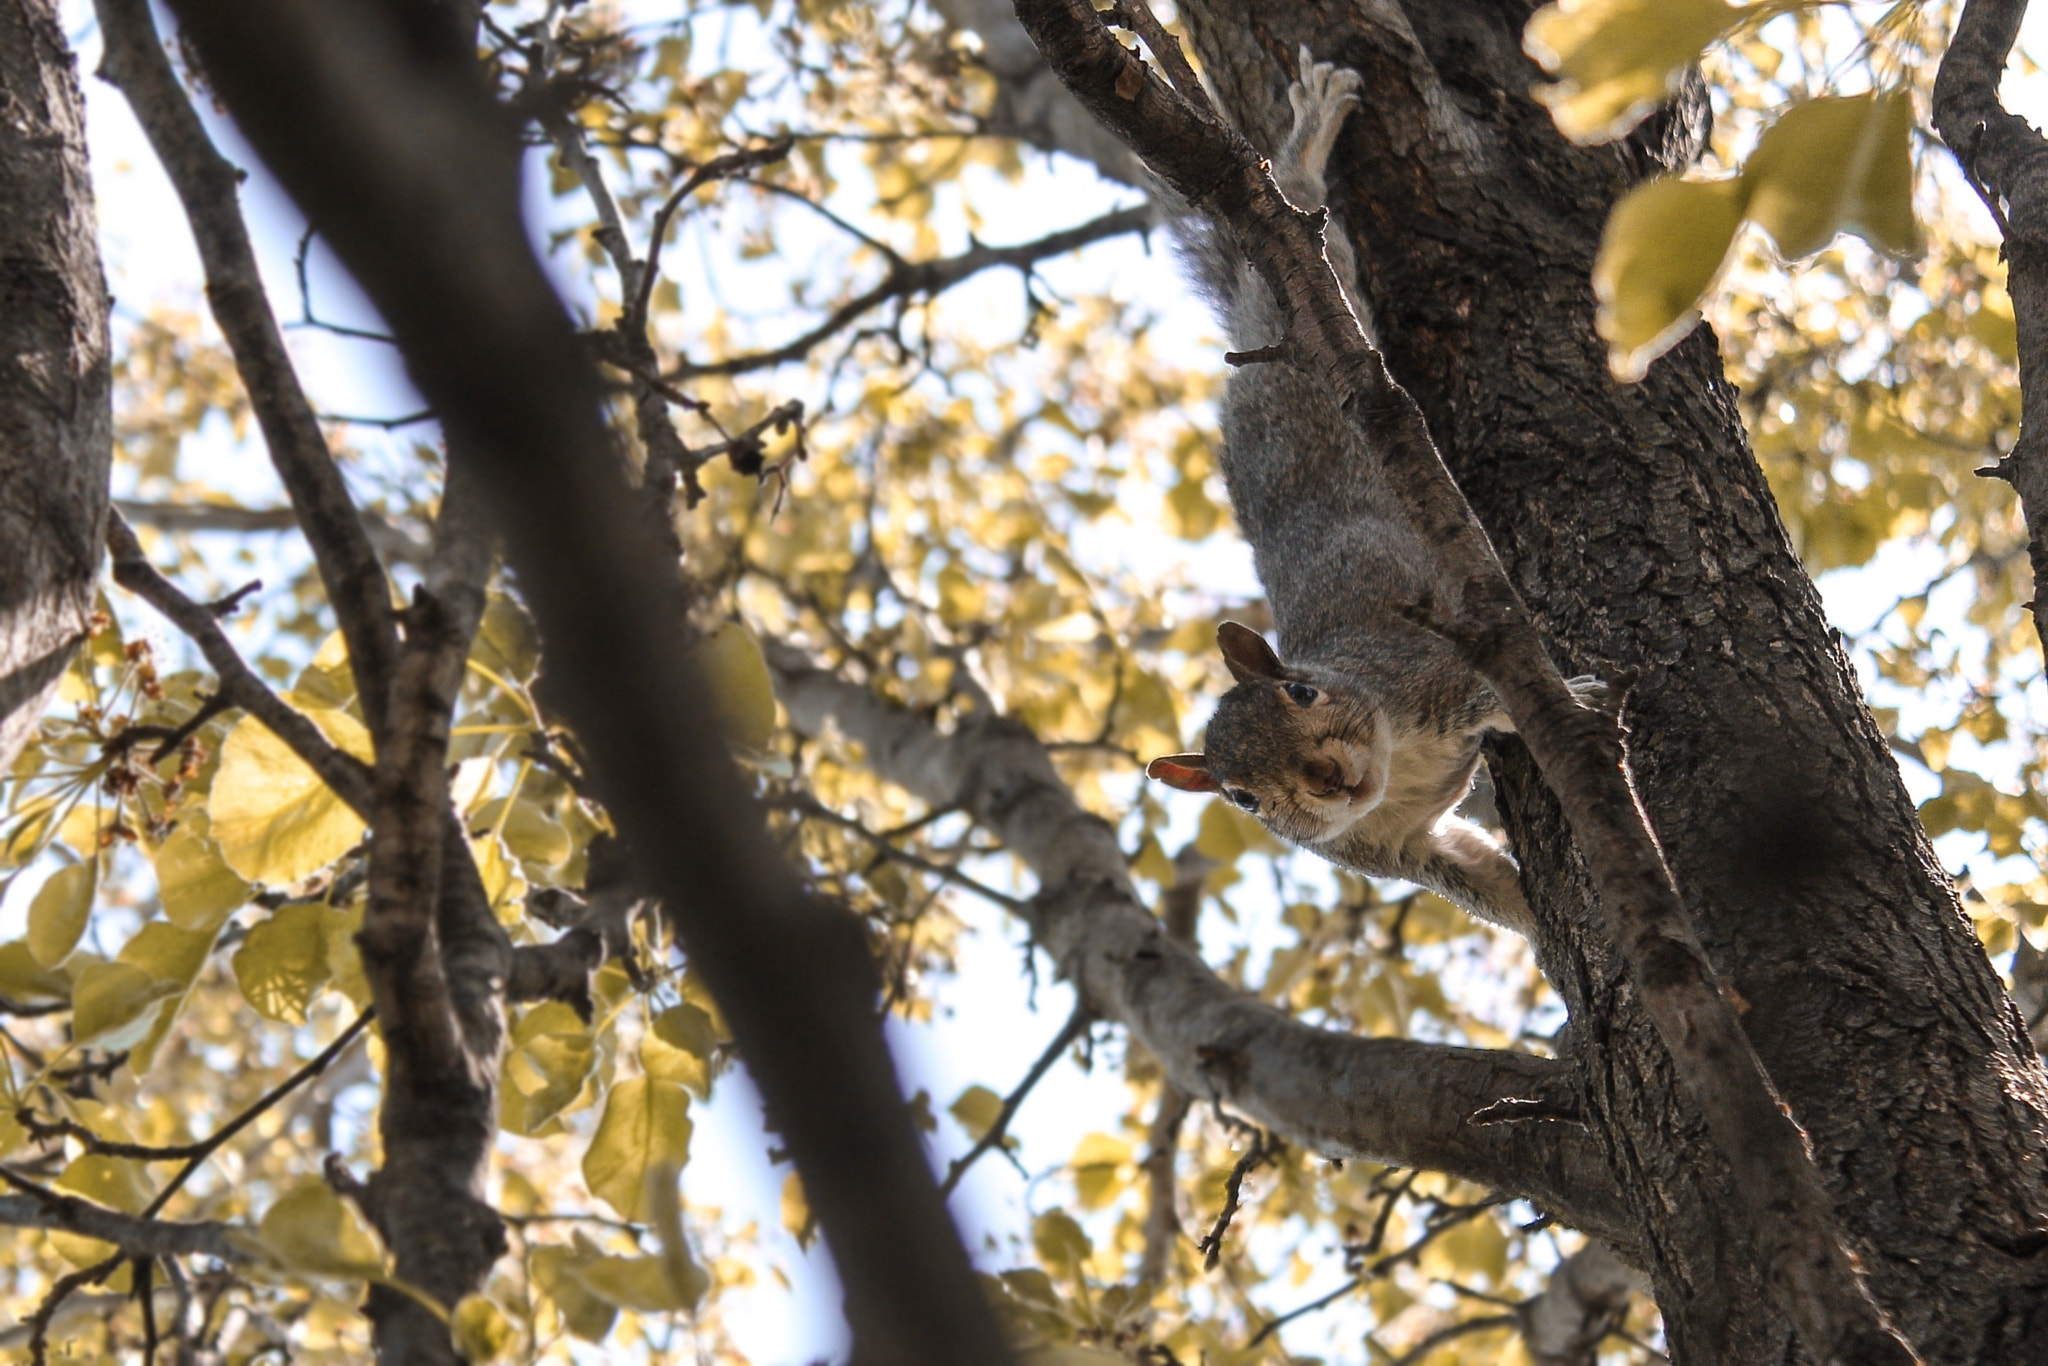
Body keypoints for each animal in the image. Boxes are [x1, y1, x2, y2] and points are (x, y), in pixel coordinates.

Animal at [1155, 48, 1597, 933]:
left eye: (1302, 689)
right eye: (1243, 798)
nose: (1326, 779)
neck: (1395, 755)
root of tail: (1250, 355)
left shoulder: (1431, 664)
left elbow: (1499, 691)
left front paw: (1572, 694)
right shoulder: (1400, 851)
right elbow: (1490, 886)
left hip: (1326, 295)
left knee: (1298, 206)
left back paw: (1309, 133)